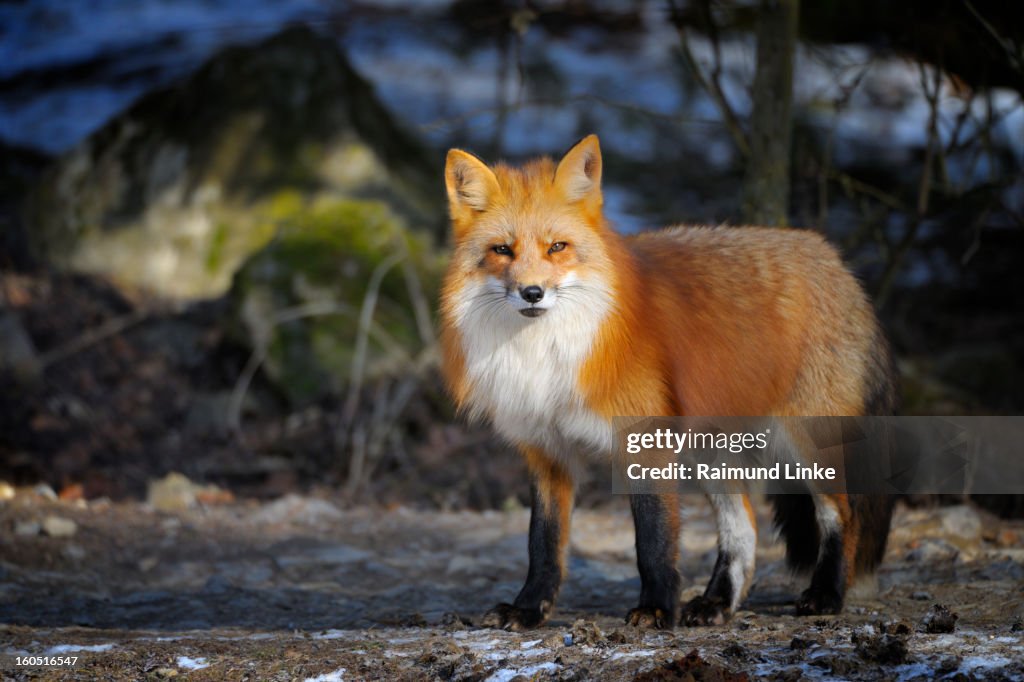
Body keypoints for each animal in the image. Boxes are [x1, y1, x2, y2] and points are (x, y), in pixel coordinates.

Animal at [438, 134, 896, 630]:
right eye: (502, 250)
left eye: (557, 247)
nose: (532, 293)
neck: (548, 353)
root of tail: (832, 257)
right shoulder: (546, 450)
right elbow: (542, 543)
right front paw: (528, 608)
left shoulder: (645, 442)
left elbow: (653, 538)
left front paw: (657, 607)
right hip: (714, 453)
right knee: (744, 529)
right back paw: (717, 603)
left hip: (804, 441)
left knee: (841, 514)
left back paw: (827, 594)